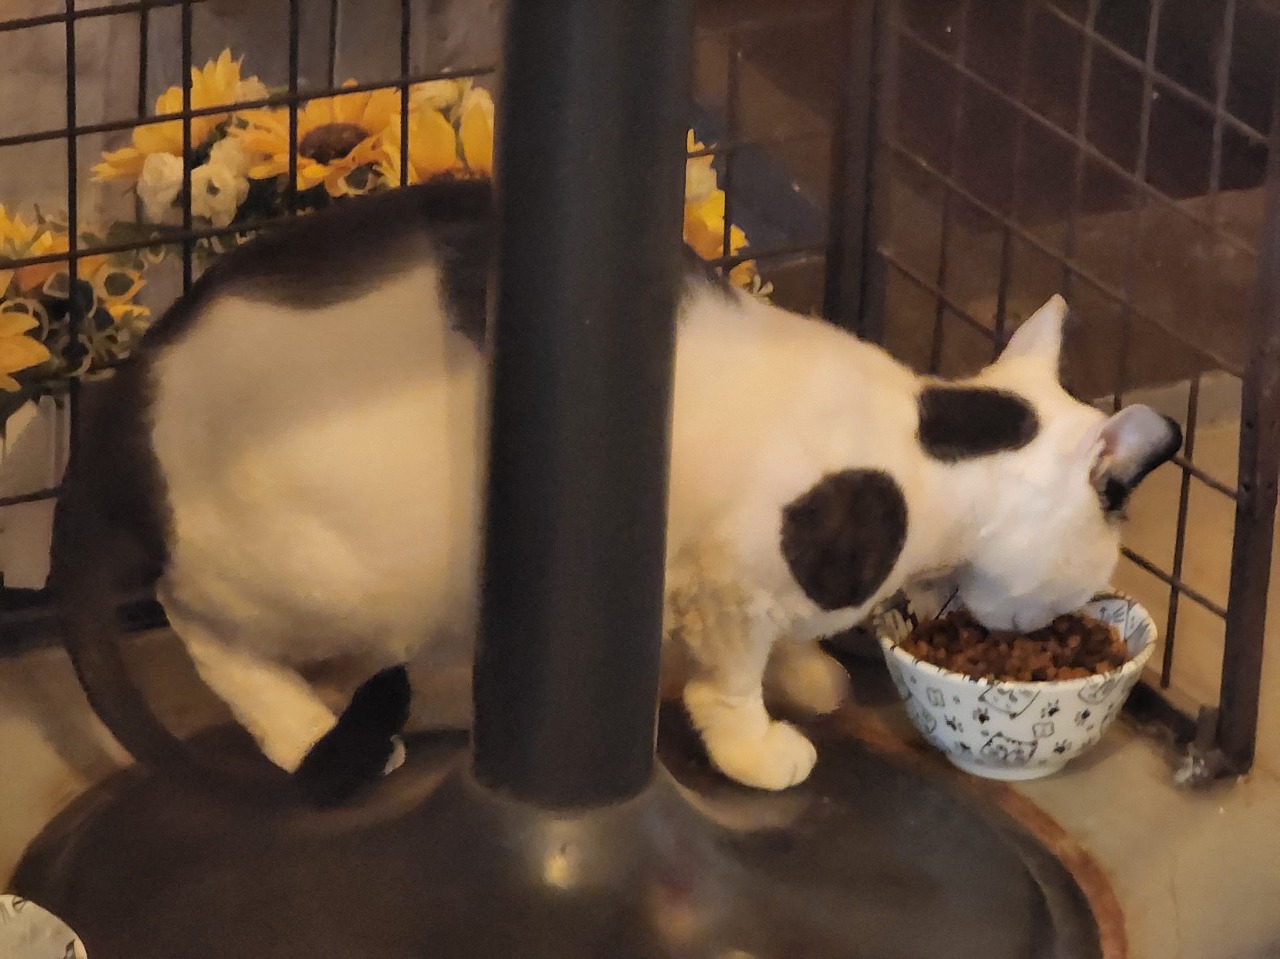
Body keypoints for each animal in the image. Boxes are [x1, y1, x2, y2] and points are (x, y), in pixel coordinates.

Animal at [51, 178, 1181, 803]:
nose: (1038, 620)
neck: (917, 454)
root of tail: (113, 402)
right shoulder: (726, 582)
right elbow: (726, 681)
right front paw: (759, 743)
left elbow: (780, 651)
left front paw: (810, 675)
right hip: (340, 569)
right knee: (206, 631)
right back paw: (309, 733)